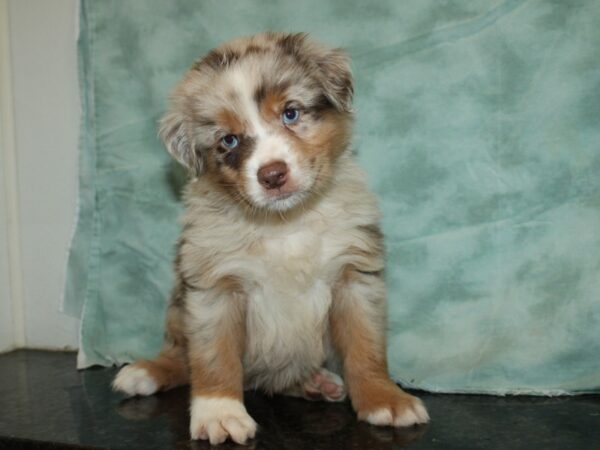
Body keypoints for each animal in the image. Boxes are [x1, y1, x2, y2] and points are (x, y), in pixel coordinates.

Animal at [112, 31, 428, 442]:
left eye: (290, 113)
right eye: (229, 141)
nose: (273, 174)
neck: (283, 222)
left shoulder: (354, 276)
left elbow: (366, 347)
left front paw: (384, 399)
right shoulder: (215, 286)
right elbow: (214, 357)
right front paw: (219, 413)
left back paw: (314, 383)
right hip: (177, 311)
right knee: (180, 355)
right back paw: (146, 371)